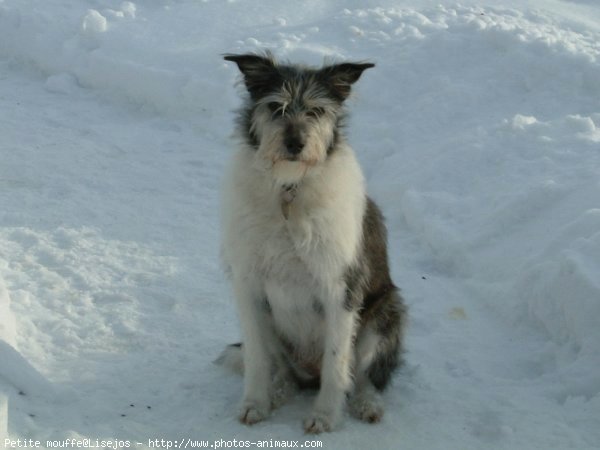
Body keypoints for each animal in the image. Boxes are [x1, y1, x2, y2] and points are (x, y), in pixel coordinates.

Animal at [218, 51, 406, 434]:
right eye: (275, 106)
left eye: (317, 111)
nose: (295, 144)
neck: (289, 189)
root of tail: (308, 373)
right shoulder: (249, 286)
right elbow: (256, 358)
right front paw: (254, 403)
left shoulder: (341, 287)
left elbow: (337, 364)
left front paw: (325, 416)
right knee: (283, 371)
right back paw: (277, 392)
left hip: (385, 314)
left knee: (364, 375)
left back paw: (367, 403)